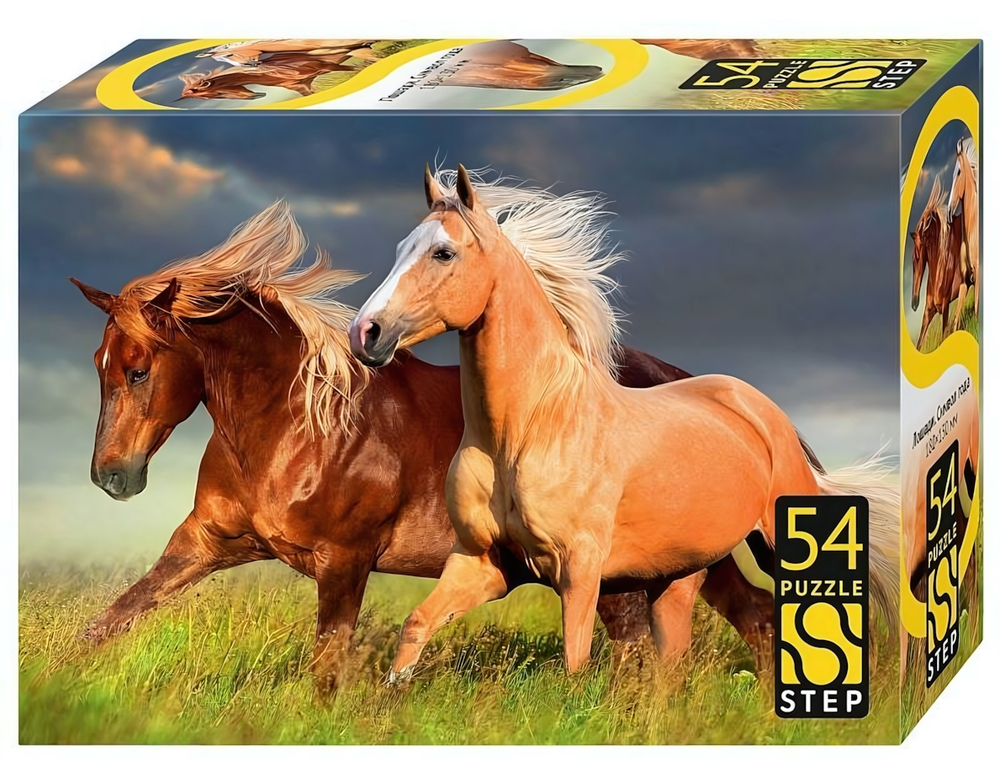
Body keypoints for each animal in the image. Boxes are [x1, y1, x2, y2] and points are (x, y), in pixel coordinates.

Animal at [70, 202, 779, 693]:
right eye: (100, 365)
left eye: (139, 370)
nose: (112, 476)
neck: (296, 428)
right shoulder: (205, 543)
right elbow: (111, 620)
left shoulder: (345, 561)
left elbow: (328, 666)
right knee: (744, 618)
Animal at [348, 166, 900, 678]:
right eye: (401, 248)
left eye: (443, 253)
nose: (365, 332)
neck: (527, 432)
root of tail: (764, 413)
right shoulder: (483, 561)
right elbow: (416, 625)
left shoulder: (579, 568)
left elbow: (575, 660)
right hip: (681, 574)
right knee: (686, 654)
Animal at [909, 175, 968, 350]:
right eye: (912, 260)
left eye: (918, 258)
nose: (914, 303)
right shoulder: (928, 312)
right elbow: (919, 343)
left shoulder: (946, 306)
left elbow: (944, 335)